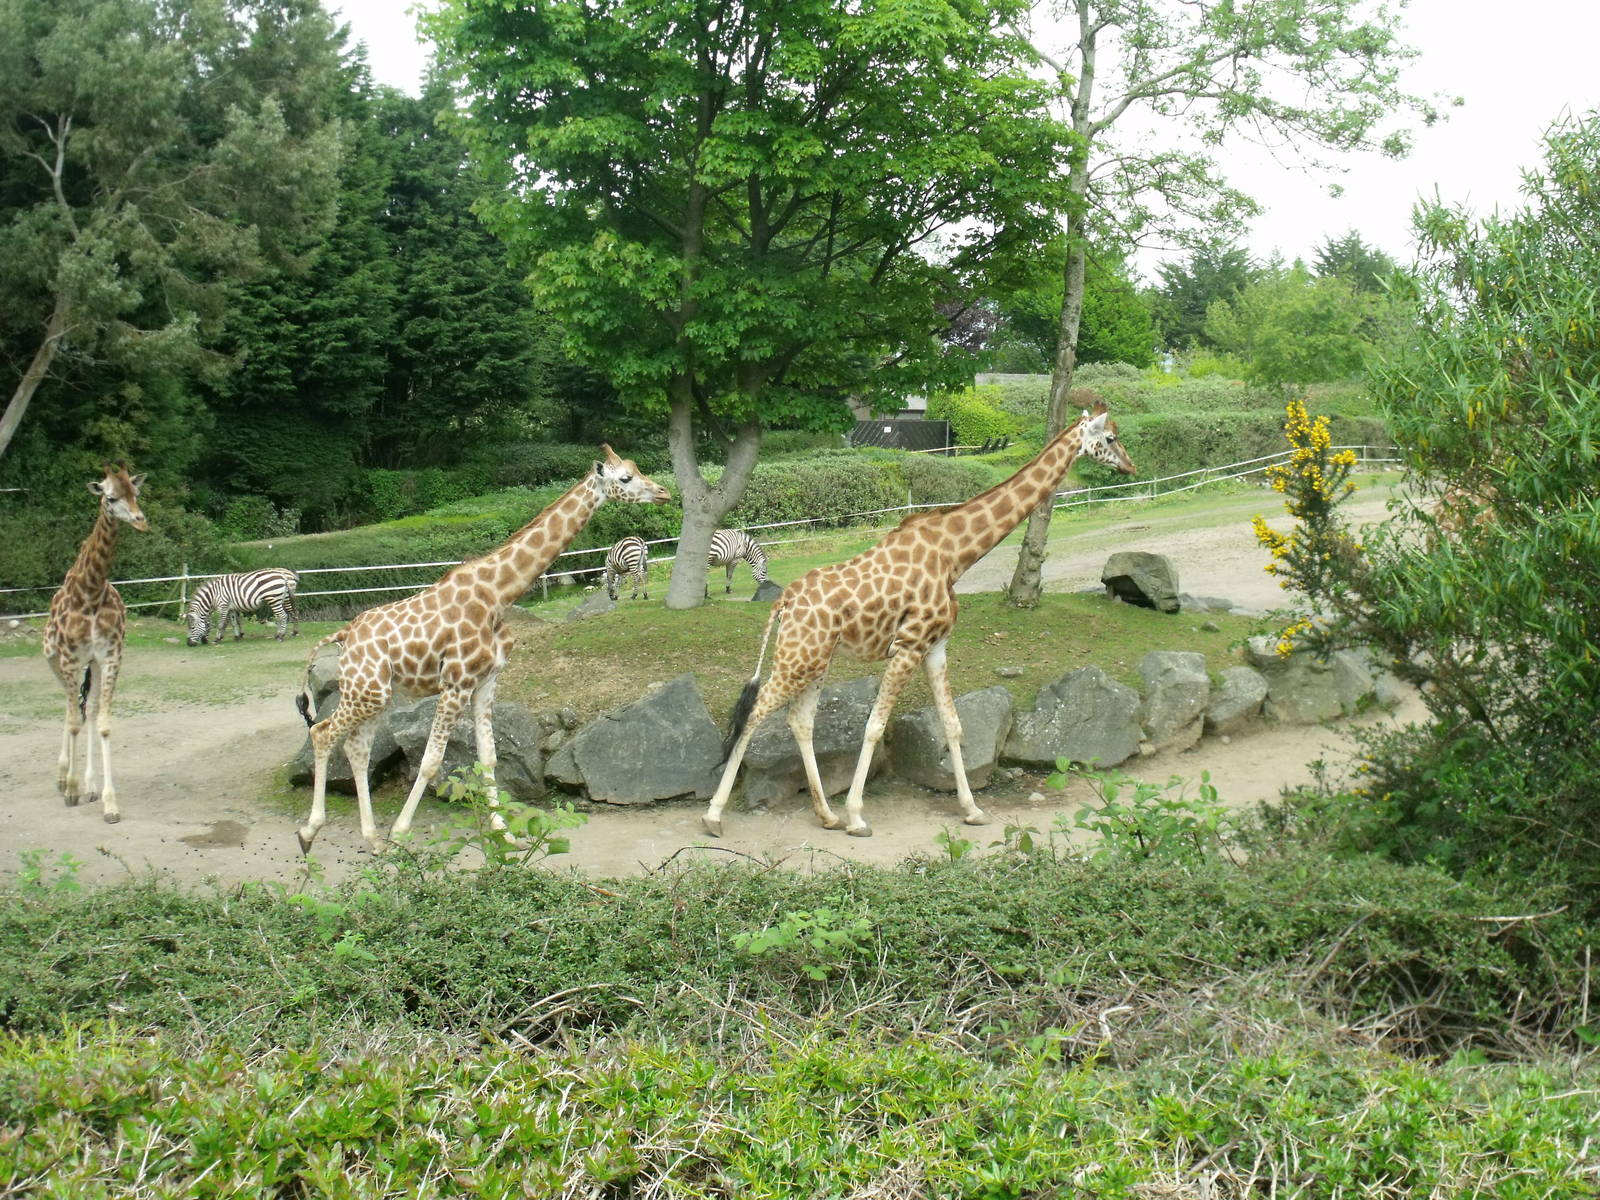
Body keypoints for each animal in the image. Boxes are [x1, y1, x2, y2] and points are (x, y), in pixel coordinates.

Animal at [42, 465, 149, 824]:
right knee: (69, 707)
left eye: (136, 493)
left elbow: (102, 723)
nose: (140, 520)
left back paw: (88, 785)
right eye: (110, 497)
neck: (89, 592)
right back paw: (63, 778)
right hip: (54, 658)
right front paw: (71, 789)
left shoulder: (109, 656)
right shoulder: (70, 658)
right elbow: (73, 719)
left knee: (84, 707)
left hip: (92, 665)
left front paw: (108, 803)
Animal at [295, 445, 670, 853]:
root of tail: (344, 634)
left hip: (374, 694)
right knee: (322, 733)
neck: (498, 594)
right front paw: (402, 831)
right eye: (626, 478)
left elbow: (489, 758)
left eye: (636, 469)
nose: (664, 492)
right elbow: (431, 760)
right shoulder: (455, 682)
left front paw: (504, 833)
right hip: (366, 692)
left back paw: (372, 839)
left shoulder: (487, 680)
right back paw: (310, 833)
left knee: (356, 749)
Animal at [702, 403, 1136, 838]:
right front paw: (857, 816)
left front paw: (972, 809)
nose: (1130, 466)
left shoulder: (936, 646)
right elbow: (874, 726)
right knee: (756, 712)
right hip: (799, 657)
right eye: (1111, 438)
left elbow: (953, 724)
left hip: (814, 658)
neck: (955, 555)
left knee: (799, 720)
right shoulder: (909, 645)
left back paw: (825, 815)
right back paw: (714, 816)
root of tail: (783, 602)